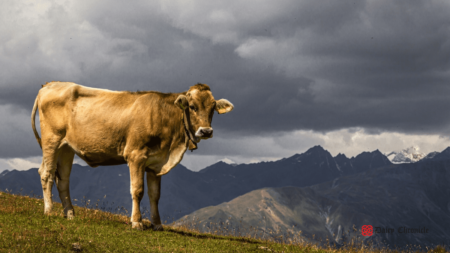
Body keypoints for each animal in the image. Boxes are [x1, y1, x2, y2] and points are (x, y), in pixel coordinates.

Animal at [31, 82, 234, 230]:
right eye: (192, 106)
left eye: (213, 108)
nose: (206, 131)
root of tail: (50, 84)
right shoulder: (136, 156)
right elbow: (137, 190)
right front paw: (136, 222)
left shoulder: (155, 163)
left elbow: (155, 195)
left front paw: (157, 224)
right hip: (51, 141)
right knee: (46, 173)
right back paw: (49, 211)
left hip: (66, 148)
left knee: (63, 179)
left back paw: (70, 214)